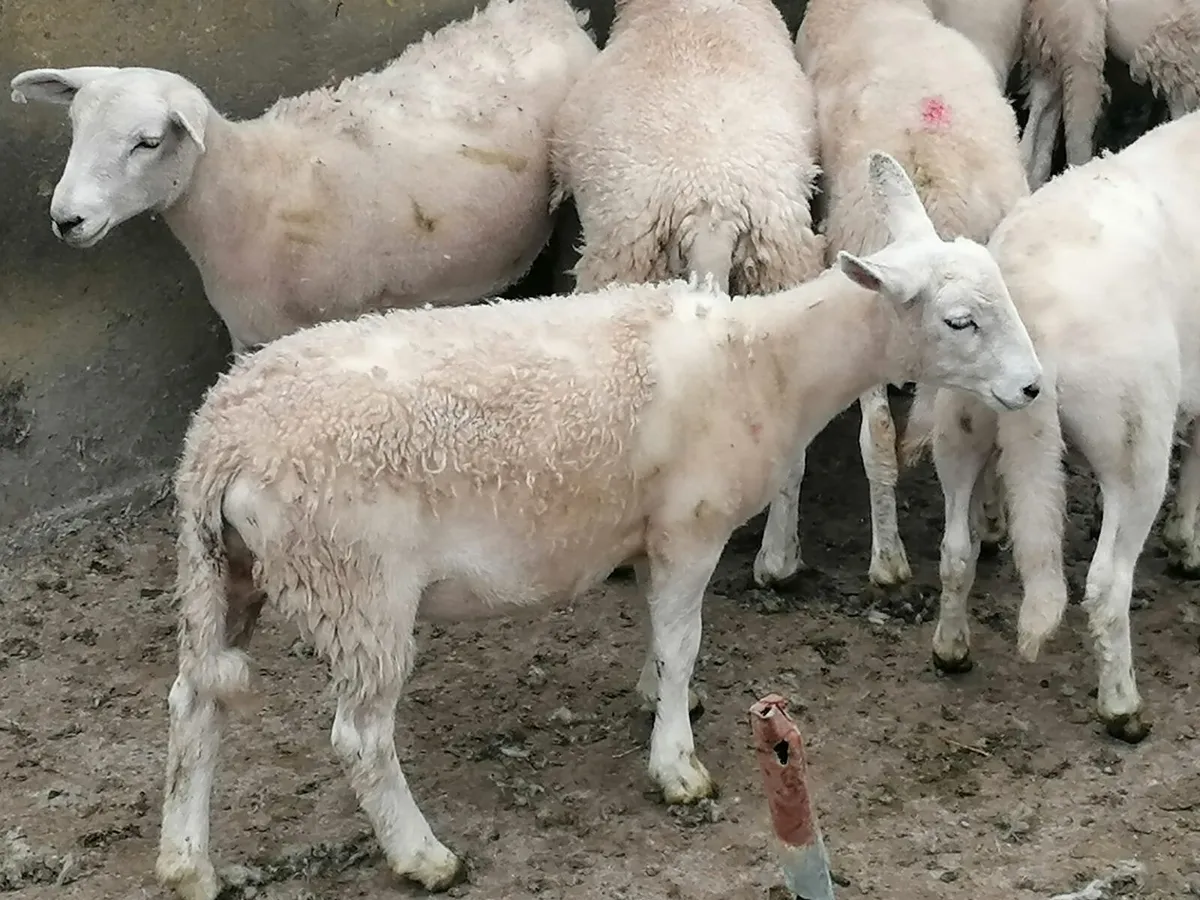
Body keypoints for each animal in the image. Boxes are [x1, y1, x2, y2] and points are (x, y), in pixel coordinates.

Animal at [153, 152, 1042, 900]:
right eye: (960, 320)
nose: (1034, 387)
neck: (762, 363)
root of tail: (217, 443)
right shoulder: (691, 524)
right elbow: (683, 641)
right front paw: (678, 767)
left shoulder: (648, 529)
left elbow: (660, 634)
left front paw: (660, 700)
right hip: (355, 582)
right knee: (360, 737)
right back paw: (422, 854)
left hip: (229, 570)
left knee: (194, 702)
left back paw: (186, 863)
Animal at [918, 109, 1200, 745]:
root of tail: (1034, 315)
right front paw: (1189, 545)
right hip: (1134, 436)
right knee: (1107, 585)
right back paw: (1122, 709)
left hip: (962, 418)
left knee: (955, 548)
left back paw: (951, 650)